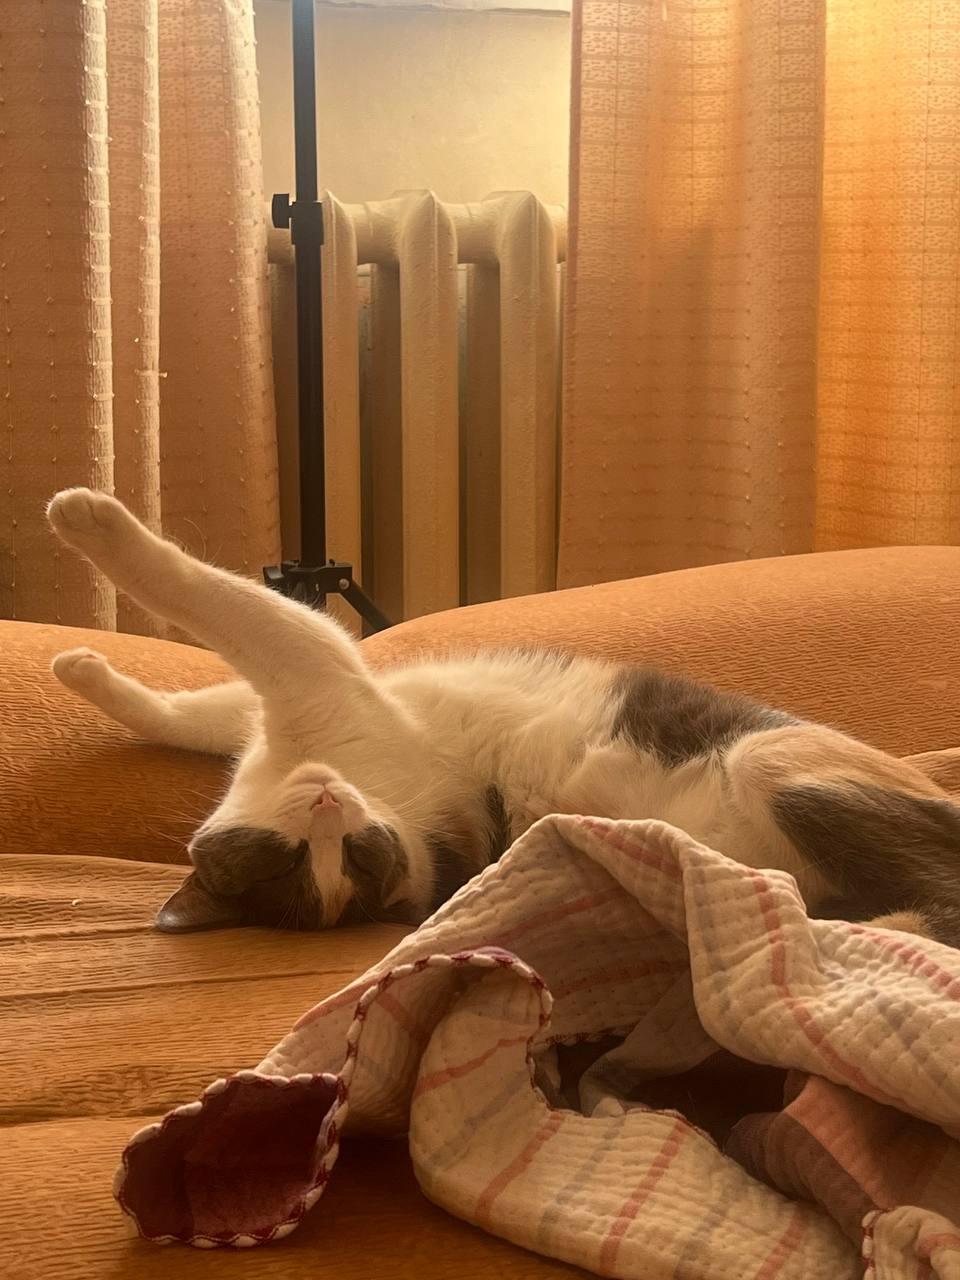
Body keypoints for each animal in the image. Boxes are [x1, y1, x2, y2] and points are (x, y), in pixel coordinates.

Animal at [46, 486, 960, 945]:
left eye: (349, 857)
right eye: (303, 862)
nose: (332, 805)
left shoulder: (321, 670)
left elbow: (210, 626)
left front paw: (86, 557)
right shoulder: (314, 687)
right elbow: (207, 677)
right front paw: (89, 662)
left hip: (771, 763)